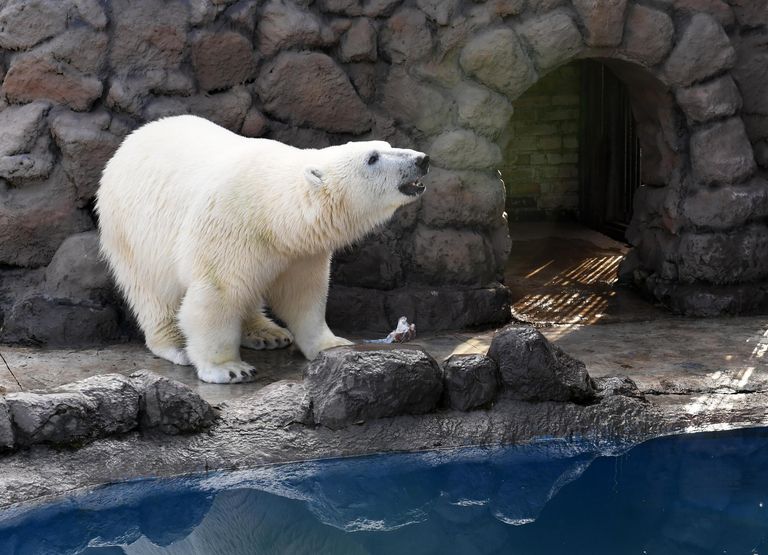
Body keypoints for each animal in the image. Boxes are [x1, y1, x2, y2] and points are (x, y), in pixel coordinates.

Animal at [96, 115, 428, 384]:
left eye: (386, 144)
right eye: (372, 157)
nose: (421, 159)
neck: (272, 213)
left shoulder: (300, 252)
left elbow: (304, 296)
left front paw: (333, 345)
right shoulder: (228, 227)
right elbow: (217, 294)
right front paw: (229, 369)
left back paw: (267, 333)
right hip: (133, 232)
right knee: (153, 292)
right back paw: (176, 343)